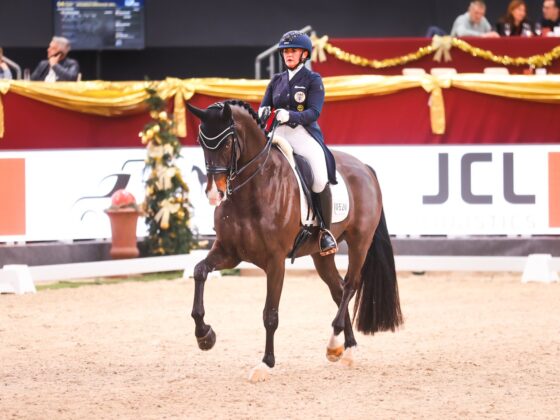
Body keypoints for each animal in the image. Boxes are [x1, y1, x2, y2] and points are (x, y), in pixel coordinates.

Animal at [188, 100, 402, 382]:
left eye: (226, 143)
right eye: (201, 142)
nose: (215, 193)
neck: (253, 188)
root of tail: (364, 167)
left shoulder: (275, 261)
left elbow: (270, 314)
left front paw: (265, 363)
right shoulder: (228, 252)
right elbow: (199, 271)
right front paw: (205, 335)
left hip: (360, 243)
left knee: (350, 286)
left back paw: (334, 344)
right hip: (321, 254)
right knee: (338, 289)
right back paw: (347, 347)